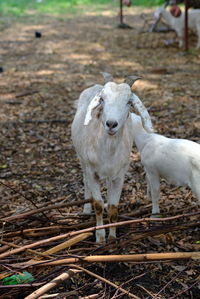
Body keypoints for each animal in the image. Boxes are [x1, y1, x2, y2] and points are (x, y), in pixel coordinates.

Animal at [71, 73, 153, 244]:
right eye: (102, 99)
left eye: (129, 102)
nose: (111, 124)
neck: (107, 151)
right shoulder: (92, 171)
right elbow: (98, 204)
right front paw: (100, 238)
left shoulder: (119, 175)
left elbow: (114, 208)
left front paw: (113, 237)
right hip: (82, 159)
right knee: (85, 180)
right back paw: (86, 210)